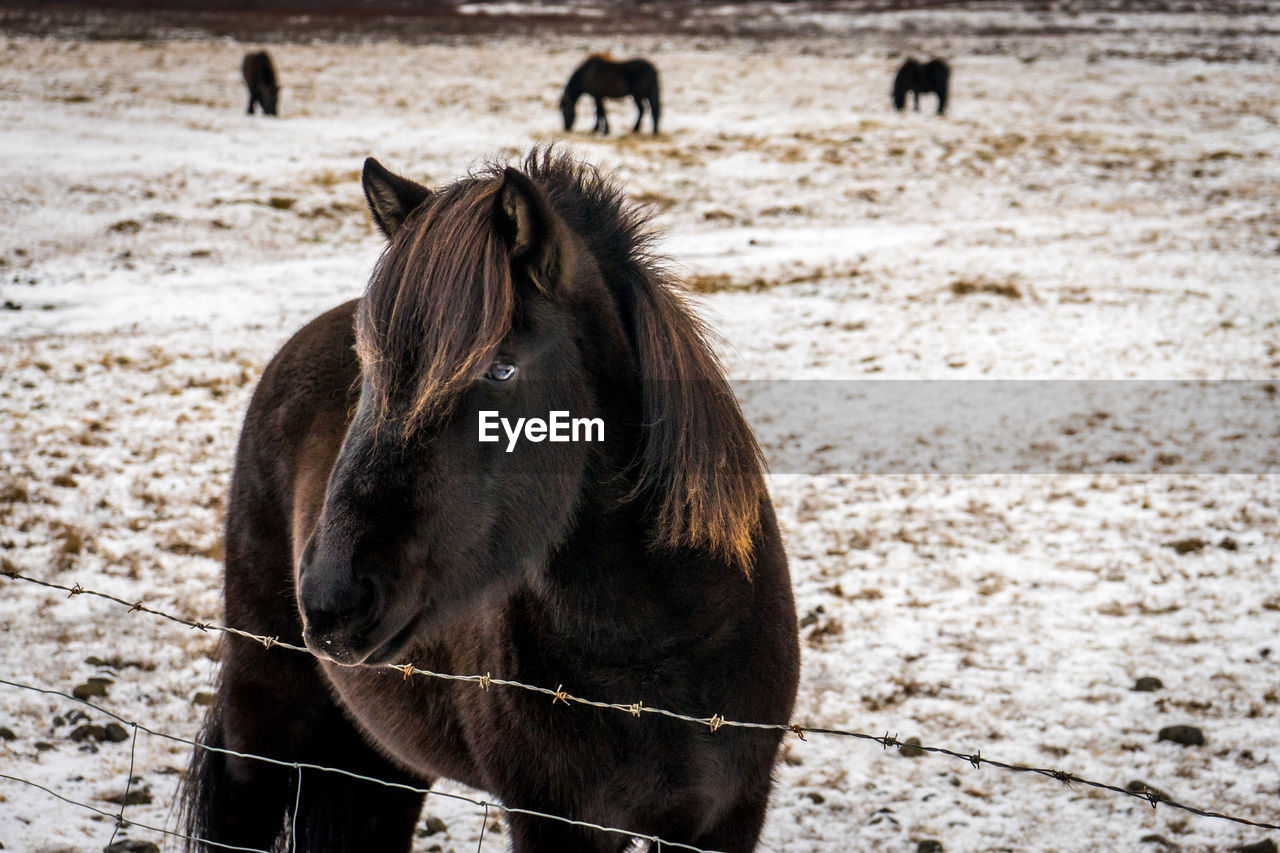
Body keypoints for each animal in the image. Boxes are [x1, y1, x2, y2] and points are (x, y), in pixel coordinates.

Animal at [183, 147, 798, 850]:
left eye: (500, 368)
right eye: (368, 371)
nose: (331, 600)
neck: (662, 653)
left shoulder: (729, 817)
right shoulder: (553, 821)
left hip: (383, 760)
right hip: (264, 712)